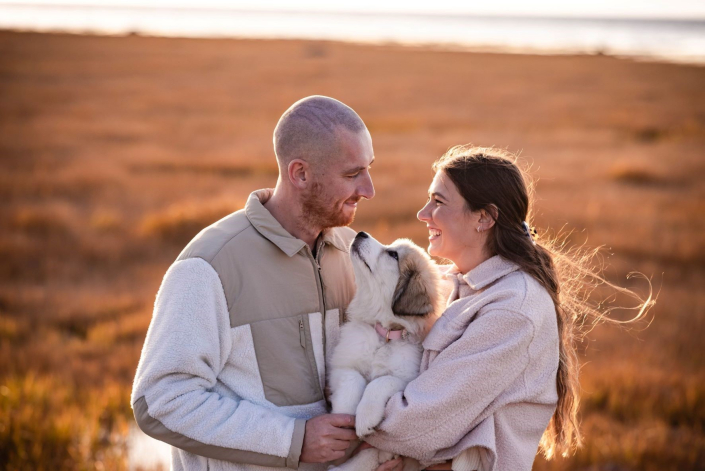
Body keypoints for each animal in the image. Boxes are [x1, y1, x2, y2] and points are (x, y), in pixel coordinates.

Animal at [326, 232, 440, 471]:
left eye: (393, 254)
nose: (361, 233)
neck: (384, 335)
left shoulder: (407, 380)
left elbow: (380, 382)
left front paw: (365, 417)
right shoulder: (340, 366)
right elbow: (353, 379)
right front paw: (346, 411)